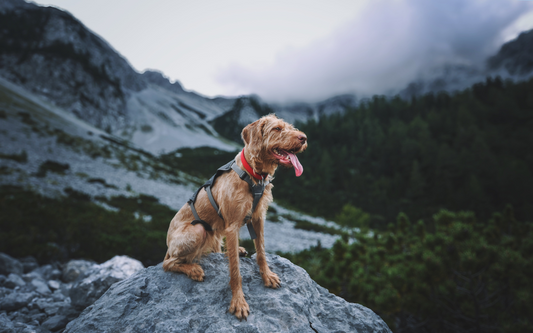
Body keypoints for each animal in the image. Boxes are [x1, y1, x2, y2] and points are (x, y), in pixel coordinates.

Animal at [164, 113, 310, 320]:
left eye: (290, 127)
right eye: (277, 129)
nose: (304, 138)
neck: (252, 173)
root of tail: (168, 245)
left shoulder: (258, 218)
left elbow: (261, 252)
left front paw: (267, 275)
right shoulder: (232, 226)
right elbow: (235, 271)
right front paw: (238, 302)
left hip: (215, 232)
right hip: (197, 230)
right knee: (168, 263)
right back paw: (192, 269)